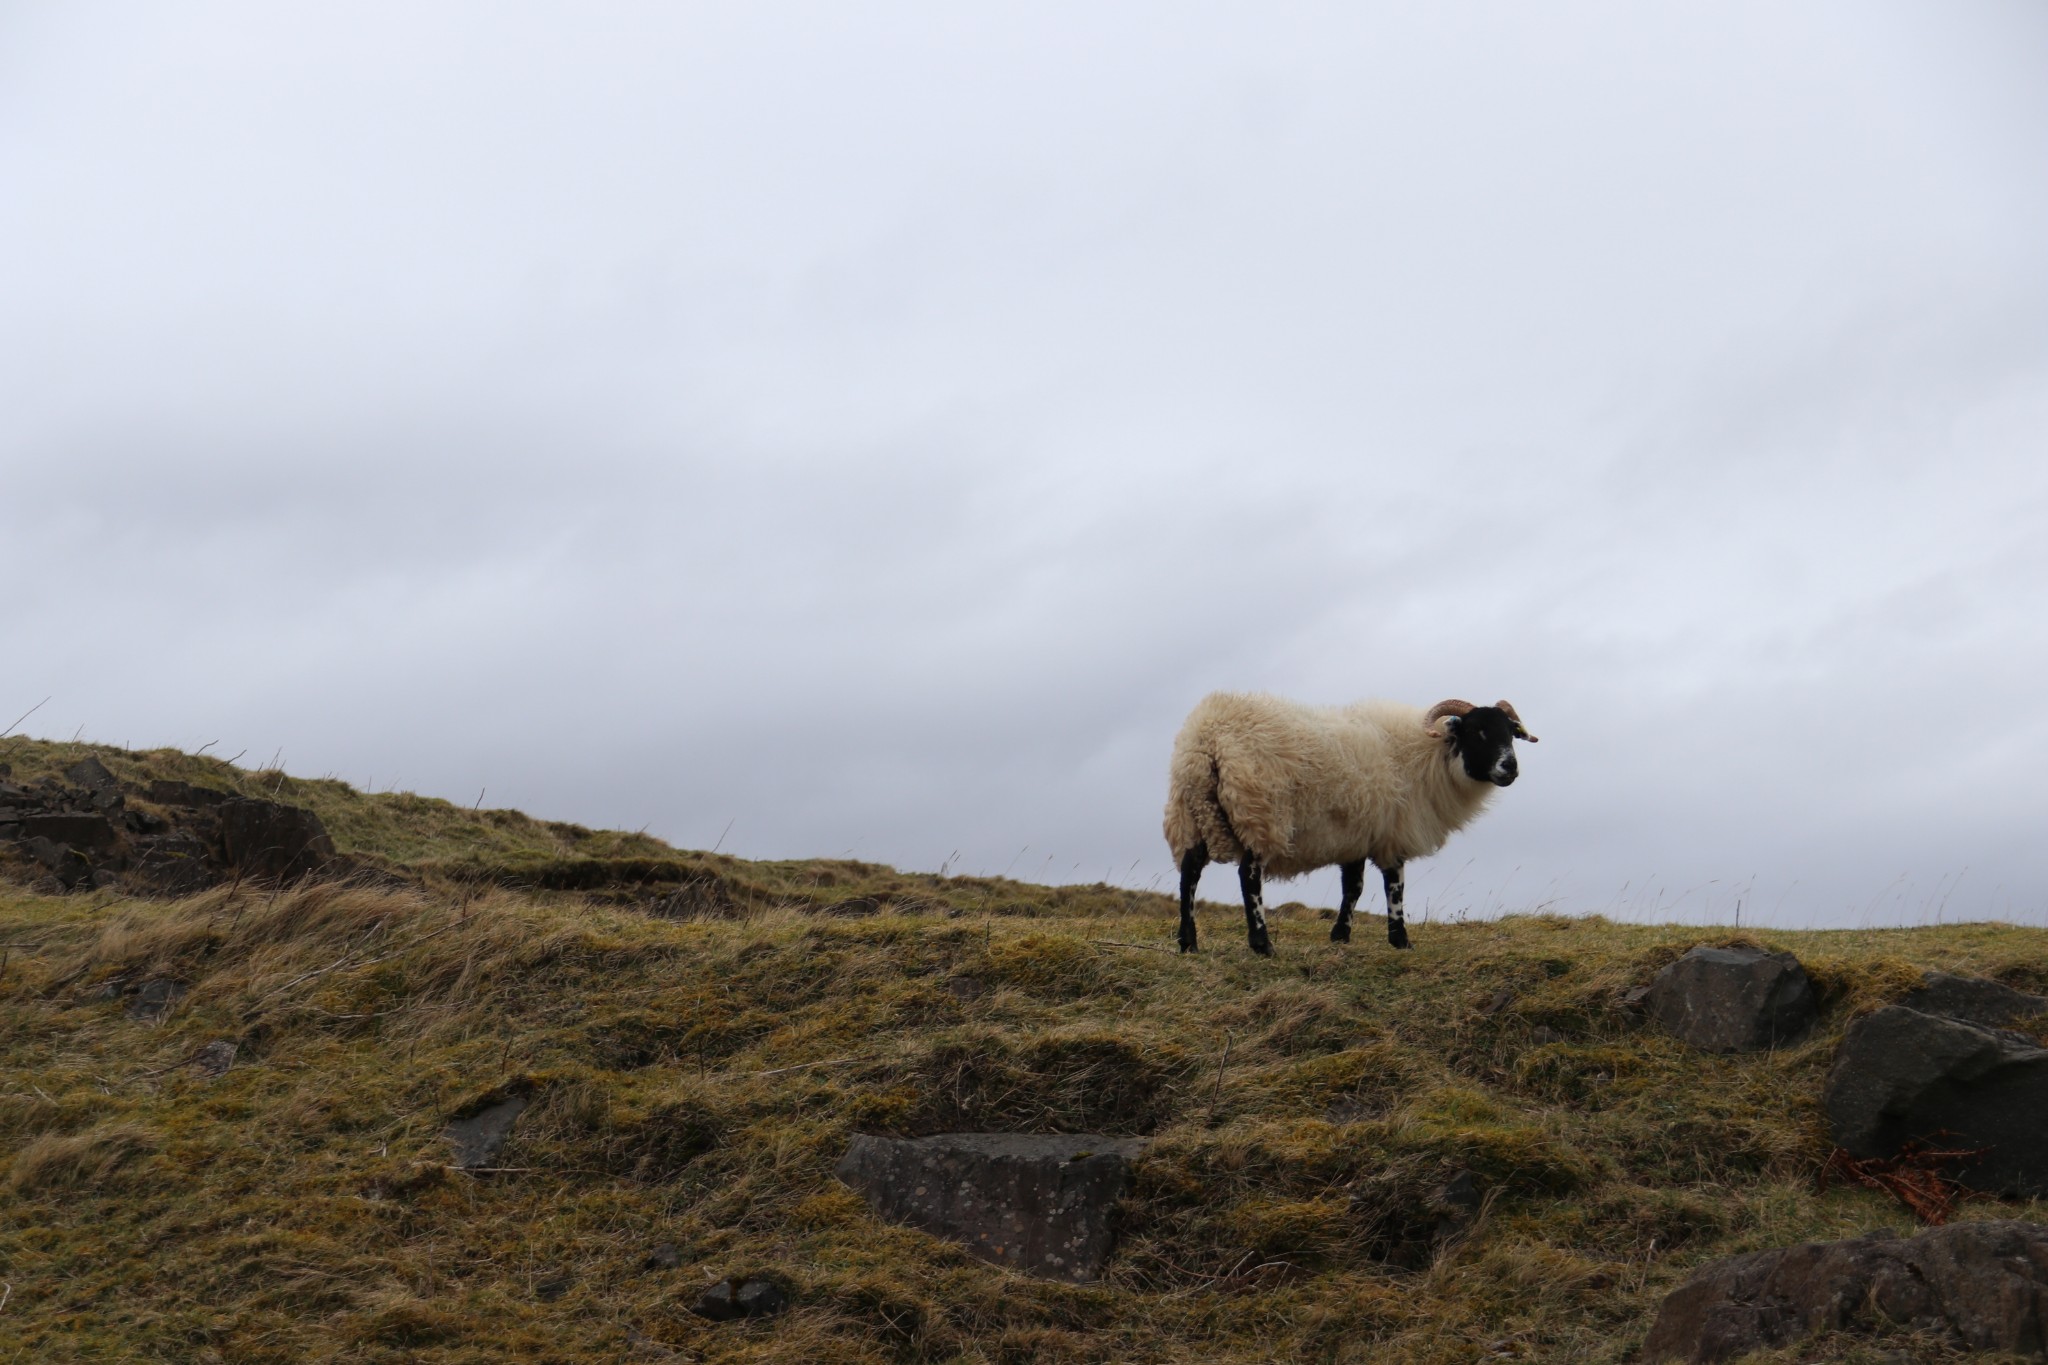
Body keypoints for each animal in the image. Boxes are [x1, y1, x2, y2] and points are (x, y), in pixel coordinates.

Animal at [1171, 699, 1540, 957]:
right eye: (1478, 731)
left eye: (1511, 733)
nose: (1510, 767)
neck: (1428, 757)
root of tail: (1209, 737)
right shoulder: (1391, 835)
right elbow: (1394, 887)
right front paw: (1400, 940)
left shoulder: (1357, 836)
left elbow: (1353, 888)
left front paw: (1341, 936)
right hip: (1260, 814)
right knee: (1248, 876)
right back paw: (1262, 944)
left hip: (1193, 813)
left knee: (1190, 871)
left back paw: (1188, 942)